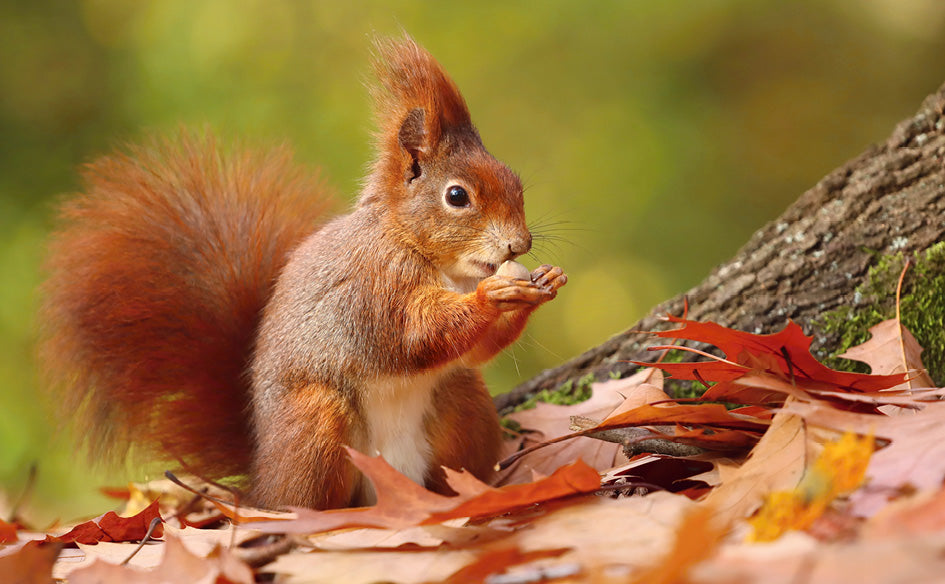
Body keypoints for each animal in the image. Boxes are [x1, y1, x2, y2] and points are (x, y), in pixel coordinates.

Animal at [40, 37, 564, 512]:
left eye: (515, 181)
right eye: (457, 196)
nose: (520, 244)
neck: (431, 258)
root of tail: (261, 474)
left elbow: (474, 350)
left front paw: (543, 284)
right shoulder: (374, 285)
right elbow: (417, 333)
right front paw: (493, 295)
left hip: (461, 404)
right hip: (315, 422)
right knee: (307, 498)